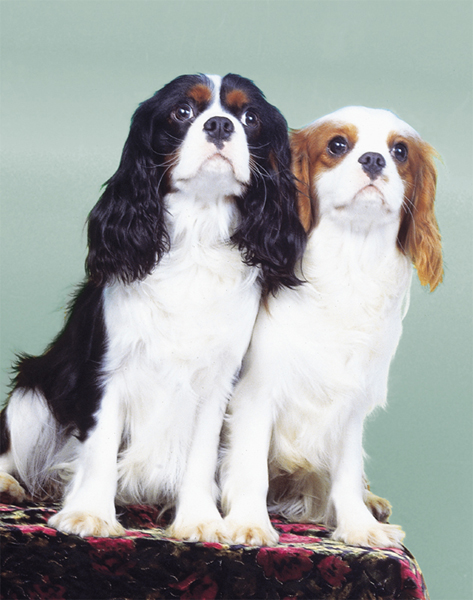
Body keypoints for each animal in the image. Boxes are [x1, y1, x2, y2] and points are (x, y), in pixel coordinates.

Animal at [0, 72, 304, 540]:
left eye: (249, 118)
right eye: (183, 111)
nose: (220, 125)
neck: (196, 234)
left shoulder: (216, 384)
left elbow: (200, 455)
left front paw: (199, 519)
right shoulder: (106, 371)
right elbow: (101, 445)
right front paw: (90, 514)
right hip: (32, 393)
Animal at [219, 105, 440, 548]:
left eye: (400, 151)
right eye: (338, 145)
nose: (374, 160)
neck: (351, 259)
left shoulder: (350, 404)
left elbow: (347, 472)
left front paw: (359, 525)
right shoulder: (255, 393)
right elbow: (249, 465)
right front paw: (250, 521)